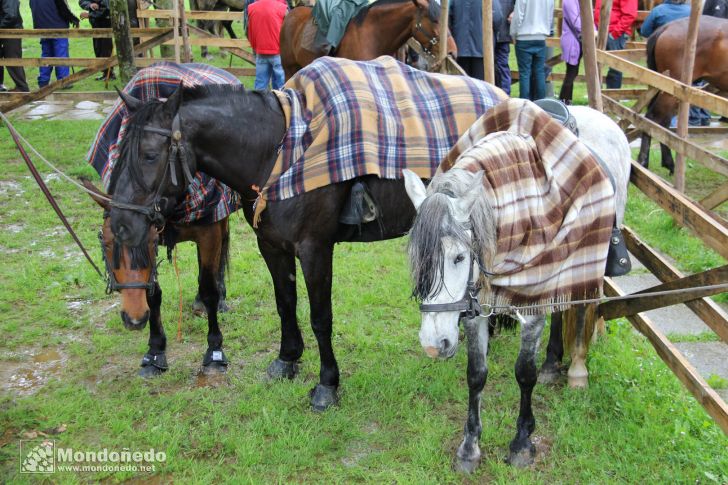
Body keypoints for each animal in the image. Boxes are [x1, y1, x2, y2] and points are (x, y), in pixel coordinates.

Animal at [404, 99, 632, 472]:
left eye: (458, 257)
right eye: (416, 261)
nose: (433, 345)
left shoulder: (531, 304)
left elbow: (525, 374)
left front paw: (522, 443)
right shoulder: (477, 305)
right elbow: (476, 373)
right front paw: (469, 448)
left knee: (581, 307)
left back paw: (576, 370)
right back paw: (553, 362)